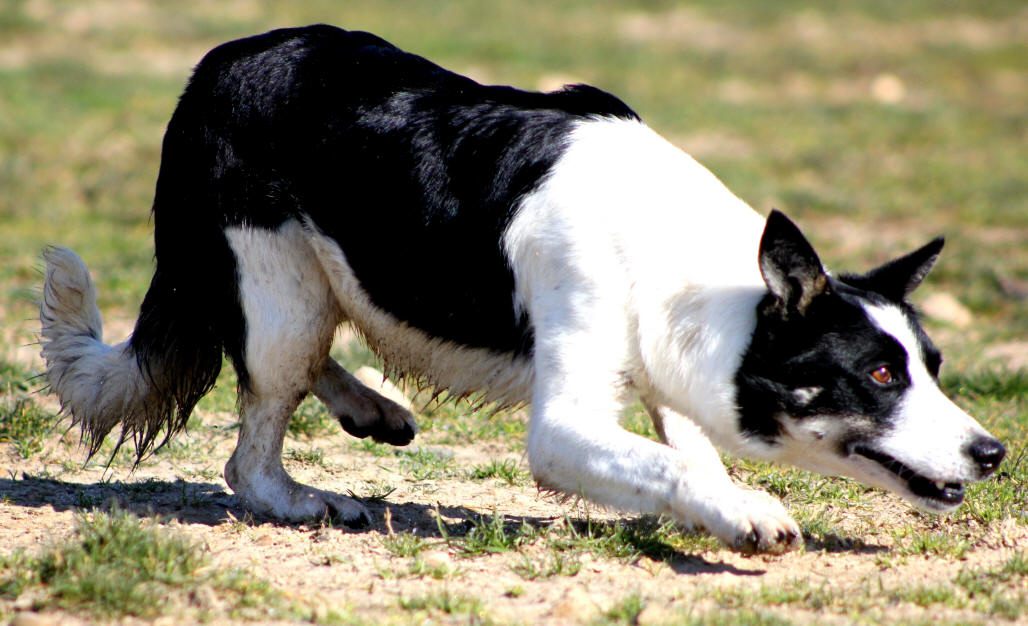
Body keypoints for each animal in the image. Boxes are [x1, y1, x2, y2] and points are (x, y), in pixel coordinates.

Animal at [42, 25, 1003, 550]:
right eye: (876, 374)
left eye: (932, 366)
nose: (995, 453)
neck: (680, 261)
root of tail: (216, 64)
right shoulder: (565, 424)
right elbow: (668, 463)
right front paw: (748, 514)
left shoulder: (667, 375)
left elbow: (685, 459)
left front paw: (728, 508)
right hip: (283, 290)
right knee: (251, 447)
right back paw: (309, 497)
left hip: (306, 293)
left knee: (299, 357)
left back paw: (372, 406)